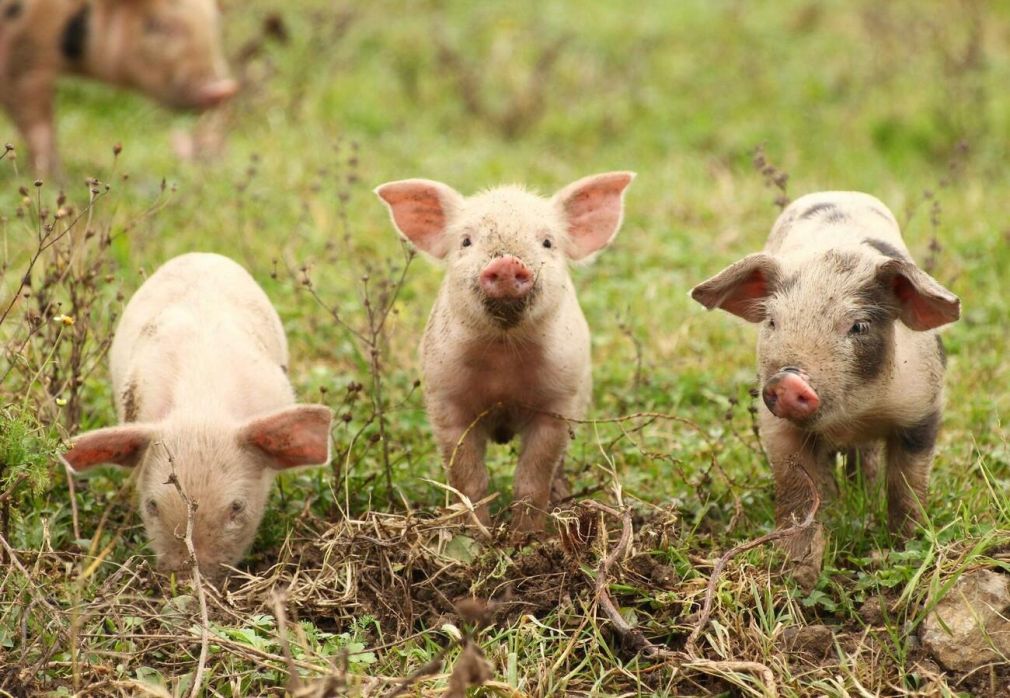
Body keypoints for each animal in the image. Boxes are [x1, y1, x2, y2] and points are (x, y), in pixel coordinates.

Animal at [0, 0, 234, 173]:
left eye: (214, 25)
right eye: (157, 25)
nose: (223, 89)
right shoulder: (23, 53)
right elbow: (39, 125)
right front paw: (54, 178)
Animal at [375, 171, 634, 533]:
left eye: (547, 242)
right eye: (466, 241)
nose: (507, 262)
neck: (503, 358)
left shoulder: (559, 403)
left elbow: (532, 476)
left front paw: (526, 536)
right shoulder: (445, 399)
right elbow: (468, 477)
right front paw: (476, 534)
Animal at [690, 189, 957, 585]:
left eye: (858, 326)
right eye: (772, 321)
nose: (788, 380)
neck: (852, 414)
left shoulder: (922, 407)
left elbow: (907, 486)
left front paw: (906, 548)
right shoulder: (777, 427)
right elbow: (797, 494)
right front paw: (798, 574)